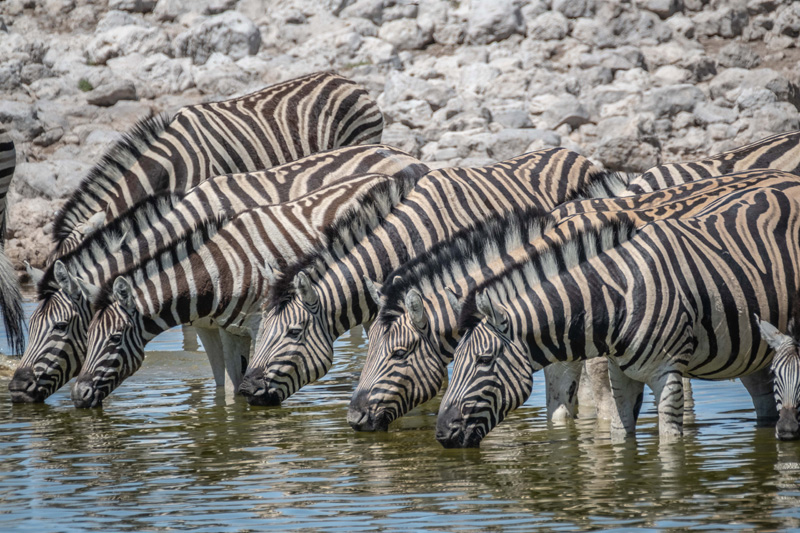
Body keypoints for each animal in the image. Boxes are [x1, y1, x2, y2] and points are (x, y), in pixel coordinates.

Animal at [9, 145, 427, 403]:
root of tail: (412, 159)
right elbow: (222, 387)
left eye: (61, 327)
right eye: (32, 326)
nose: (16, 388)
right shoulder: (212, 326)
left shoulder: (254, 324)